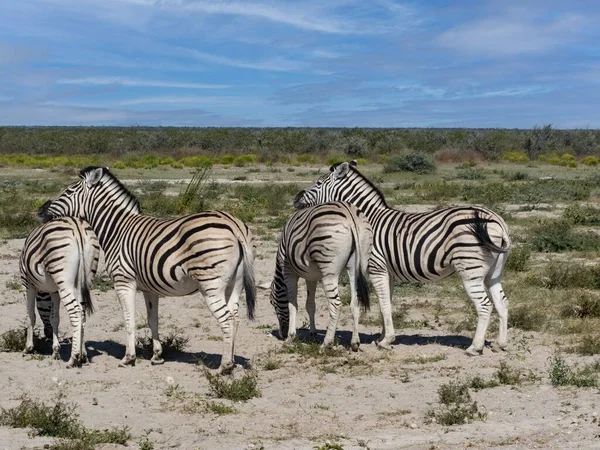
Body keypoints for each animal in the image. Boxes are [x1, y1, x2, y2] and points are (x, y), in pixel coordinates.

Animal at [19, 216, 99, 368]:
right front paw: (55, 351)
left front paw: (28, 347)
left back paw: (73, 358)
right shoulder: (55, 291)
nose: (47, 334)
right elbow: (55, 318)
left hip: (64, 281)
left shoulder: (28, 284)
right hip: (85, 280)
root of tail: (76, 226)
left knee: (75, 313)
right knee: (82, 313)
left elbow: (31, 315)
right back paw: (83, 355)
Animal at [38, 165, 255, 372]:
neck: (117, 229)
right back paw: (232, 362)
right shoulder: (150, 289)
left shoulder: (123, 282)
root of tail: (233, 224)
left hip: (210, 284)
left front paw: (128, 358)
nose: (40, 210)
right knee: (235, 318)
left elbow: (129, 319)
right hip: (235, 285)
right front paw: (157, 356)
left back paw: (224, 367)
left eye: (67, 191)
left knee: (226, 320)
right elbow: (153, 320)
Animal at [270, 201, 372, 352]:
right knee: (355, 302)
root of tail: (349, 212)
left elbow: (292, 304)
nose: (281, 334)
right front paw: (312, 334)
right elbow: (310, 305)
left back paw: (326, 343)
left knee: (336, 304)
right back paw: (355, 342)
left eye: (272, 302)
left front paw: (291, 337)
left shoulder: (288, 271)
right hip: (358, 265)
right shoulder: (310, 277)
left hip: (329, 269)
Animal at [292, 161, 508, 356]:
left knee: (484, 306)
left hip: (470, 269)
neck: (367, 219)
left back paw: (475, 348)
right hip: (493, 274)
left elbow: (384, 304)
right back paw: (500, 344)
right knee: (502, 303)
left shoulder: (377, 268)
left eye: (319, 183)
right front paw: (382, 337)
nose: (295, 199)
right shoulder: (389, 273)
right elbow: (385, 305)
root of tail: (497, 221)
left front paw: (386, 340)